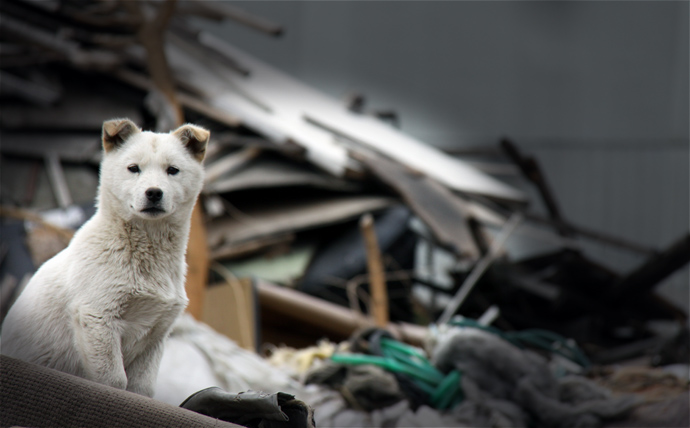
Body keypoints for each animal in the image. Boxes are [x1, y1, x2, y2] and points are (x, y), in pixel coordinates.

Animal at [1, 118, 208, 398]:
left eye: (172, 170)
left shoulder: (156, 333)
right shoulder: (97, 315)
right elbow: (113, 382)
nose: (154, 193)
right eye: (133, 168)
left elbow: (142, 390)